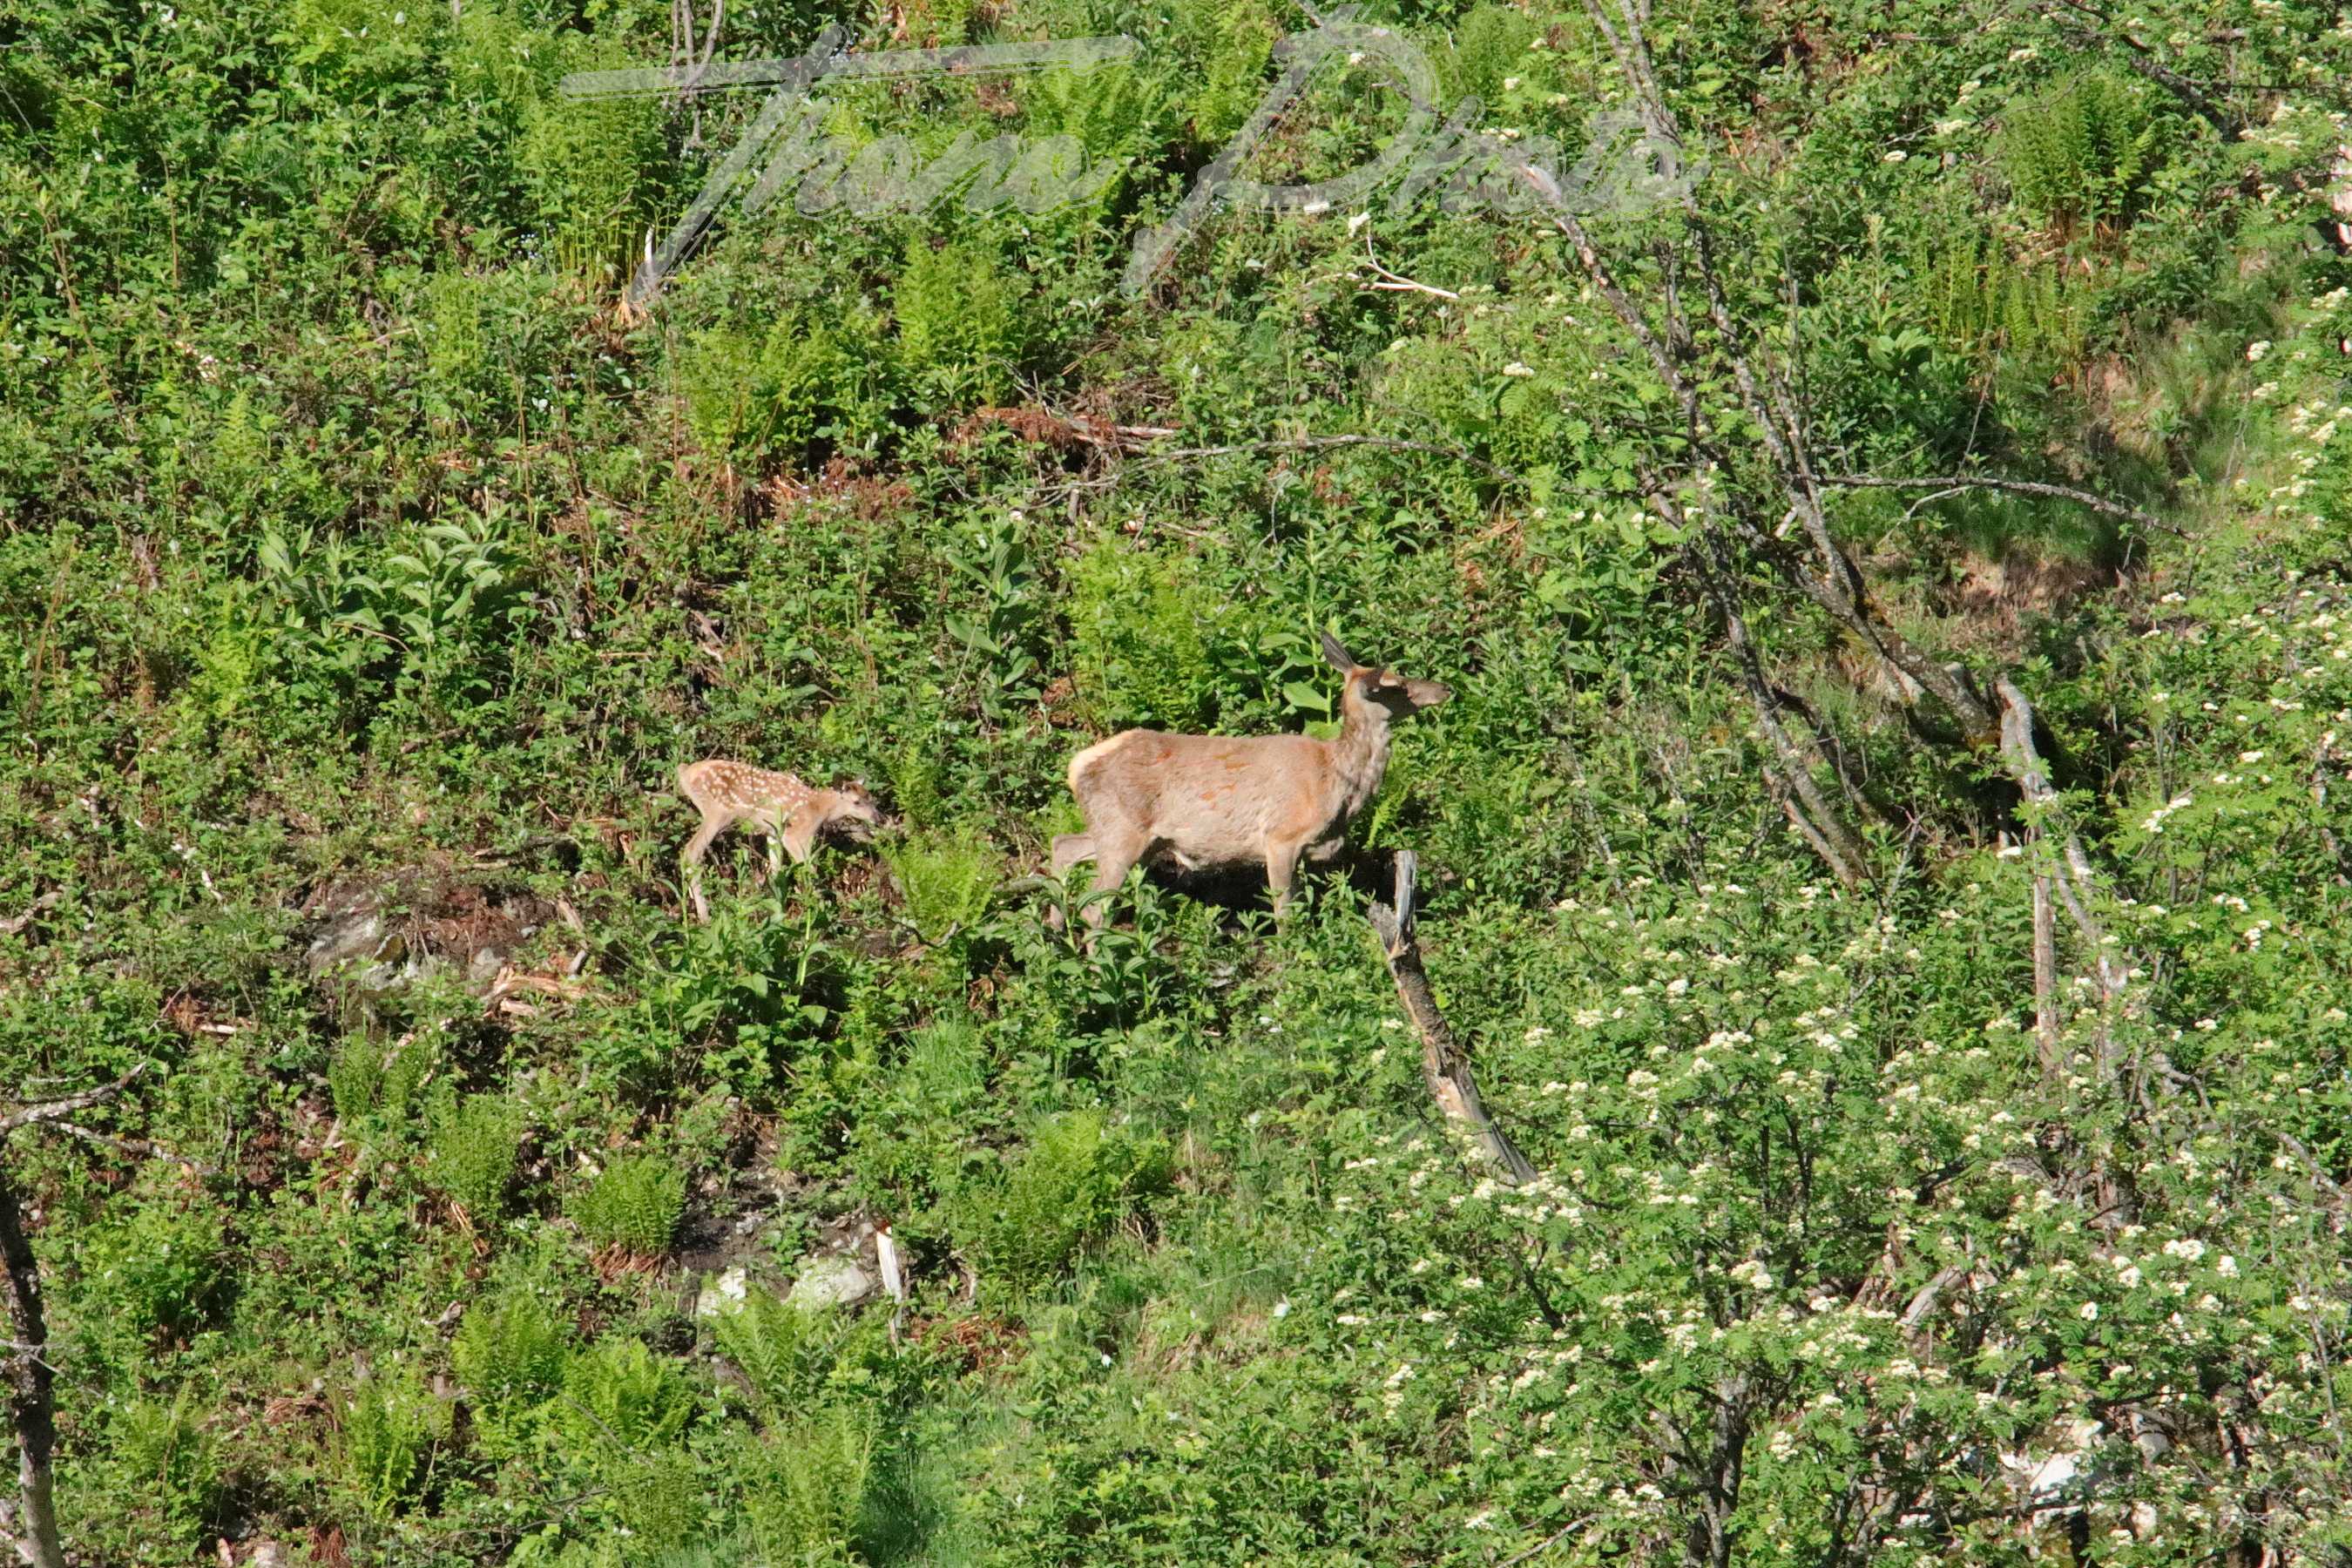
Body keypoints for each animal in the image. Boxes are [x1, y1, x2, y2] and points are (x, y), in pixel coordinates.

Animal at [677, 761, 884, 921]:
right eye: (856, 802)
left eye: (871, 798)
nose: (878, 819)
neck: (819, 809)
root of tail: (685, 772)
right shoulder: (796, 835)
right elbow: (808, 868)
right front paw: (820, 909)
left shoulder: (773, 832)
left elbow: (777, 871)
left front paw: (777, 911)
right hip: (718, 812)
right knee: (691, 851)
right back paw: (704, 917)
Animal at [1053, 630, 1449, 940]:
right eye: (1398, 685)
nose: (1444, 687)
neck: (1337, 784)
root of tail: (1077, 765)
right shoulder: (1281, 837)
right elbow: (1285, 914)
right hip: (1124, 831)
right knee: (1094, 907)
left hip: (1132, 836)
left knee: (1064, 845)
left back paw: (1056, 932)